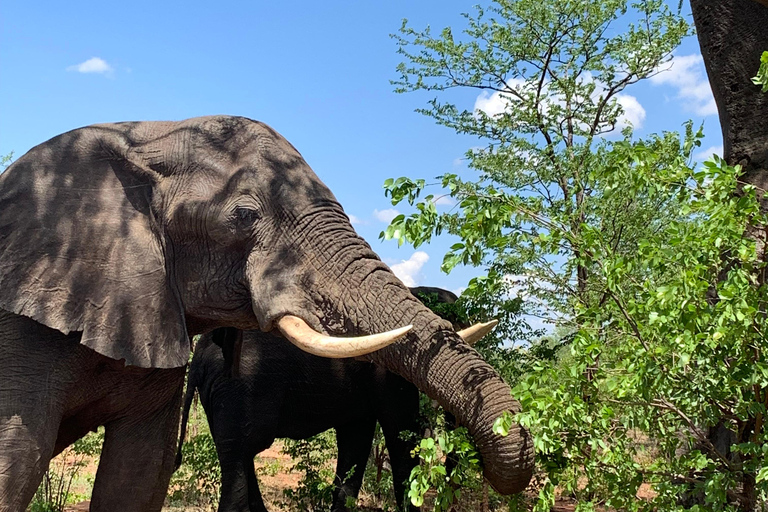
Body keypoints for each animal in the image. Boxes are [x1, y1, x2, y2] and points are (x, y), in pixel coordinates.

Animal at [176, 286, 496, 510]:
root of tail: (198, 358)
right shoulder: (388, 372)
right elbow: (401, 433)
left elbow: (356, 441)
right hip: (240, 388)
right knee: (240, 458)